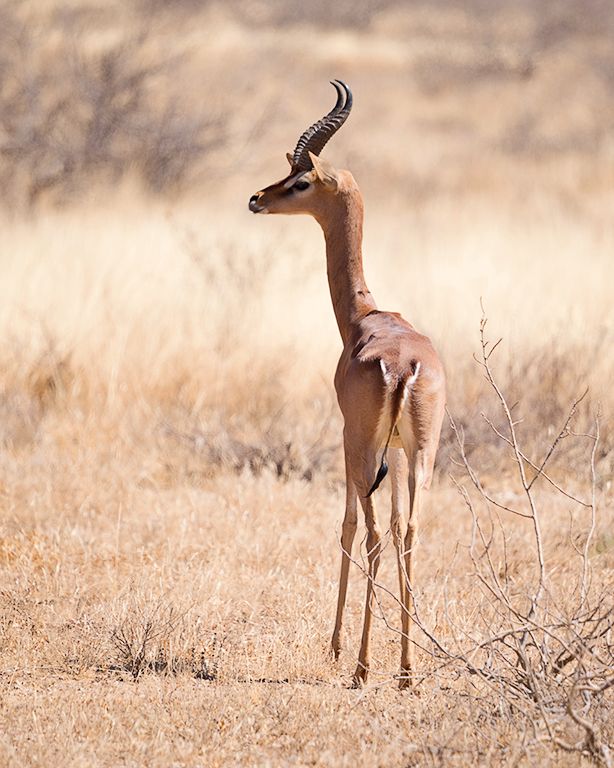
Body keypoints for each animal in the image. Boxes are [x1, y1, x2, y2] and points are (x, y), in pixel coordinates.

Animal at [249, 81, 446, 688]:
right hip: (425, 456)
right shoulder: (400, 453)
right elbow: (401, 528)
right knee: (410, 533)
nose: (256, 198)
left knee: (373, 534)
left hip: (361, 450)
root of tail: (404, 367)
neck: (367, 317)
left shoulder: (345, 438)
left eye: (301, 180)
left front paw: (335, 647)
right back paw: (405, 670)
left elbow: (346, 525)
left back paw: (360, 664)